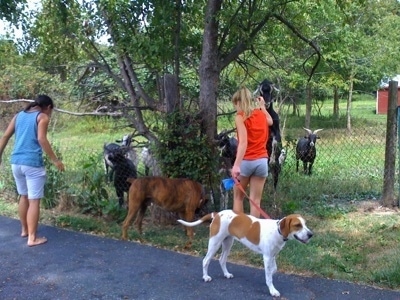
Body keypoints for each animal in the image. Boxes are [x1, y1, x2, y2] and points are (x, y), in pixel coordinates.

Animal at [177, 210, 312, 296]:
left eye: (305, 224)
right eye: (297, 225)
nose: (311, 234)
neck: (277, 231)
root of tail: (218, 214)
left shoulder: (272, 255)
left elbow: (273, 270)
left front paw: (271, 275)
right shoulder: (267, 257)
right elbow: (269, 276)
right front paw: (272, 290)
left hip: (228, 242)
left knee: (222, 260)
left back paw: (226, 274)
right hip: (215, 242)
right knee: (206, 260)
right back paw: (205, 277)